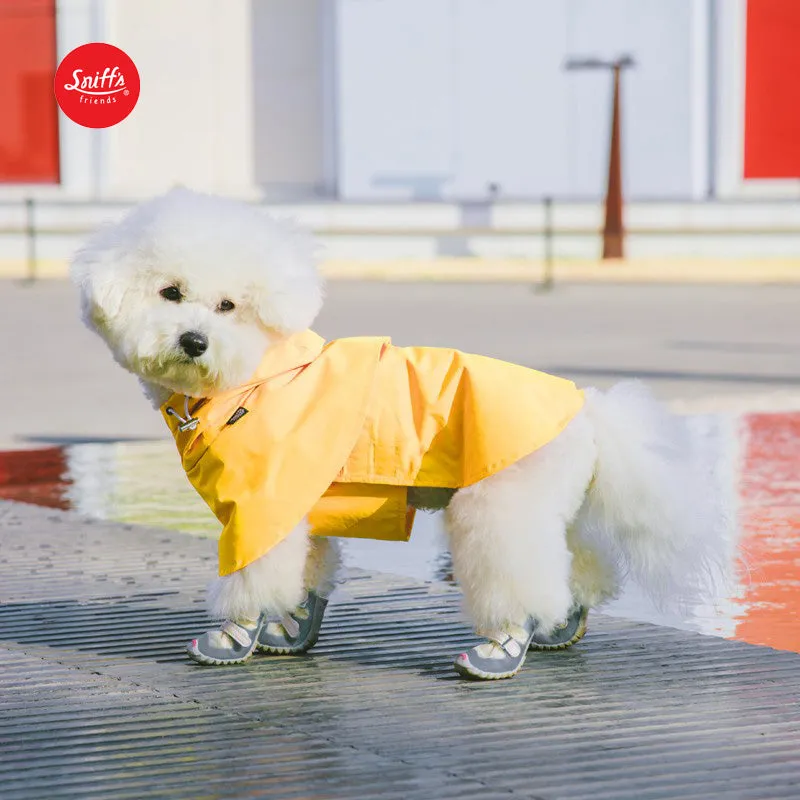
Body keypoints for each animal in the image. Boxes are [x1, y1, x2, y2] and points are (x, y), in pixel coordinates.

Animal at [70, 189, 732, 680]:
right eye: (170, 293)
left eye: (228, 306)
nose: (193, 340)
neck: (256, 377)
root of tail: (589, 411)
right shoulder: (302, 510)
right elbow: (310, 572)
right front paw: (291, 630)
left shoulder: (262, 509)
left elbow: (253, 576)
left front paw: (234, 636)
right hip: (547, 505)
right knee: (576, 564)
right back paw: (564, 624)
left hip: (500, 505)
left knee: (519, 577)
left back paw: (501, 648)